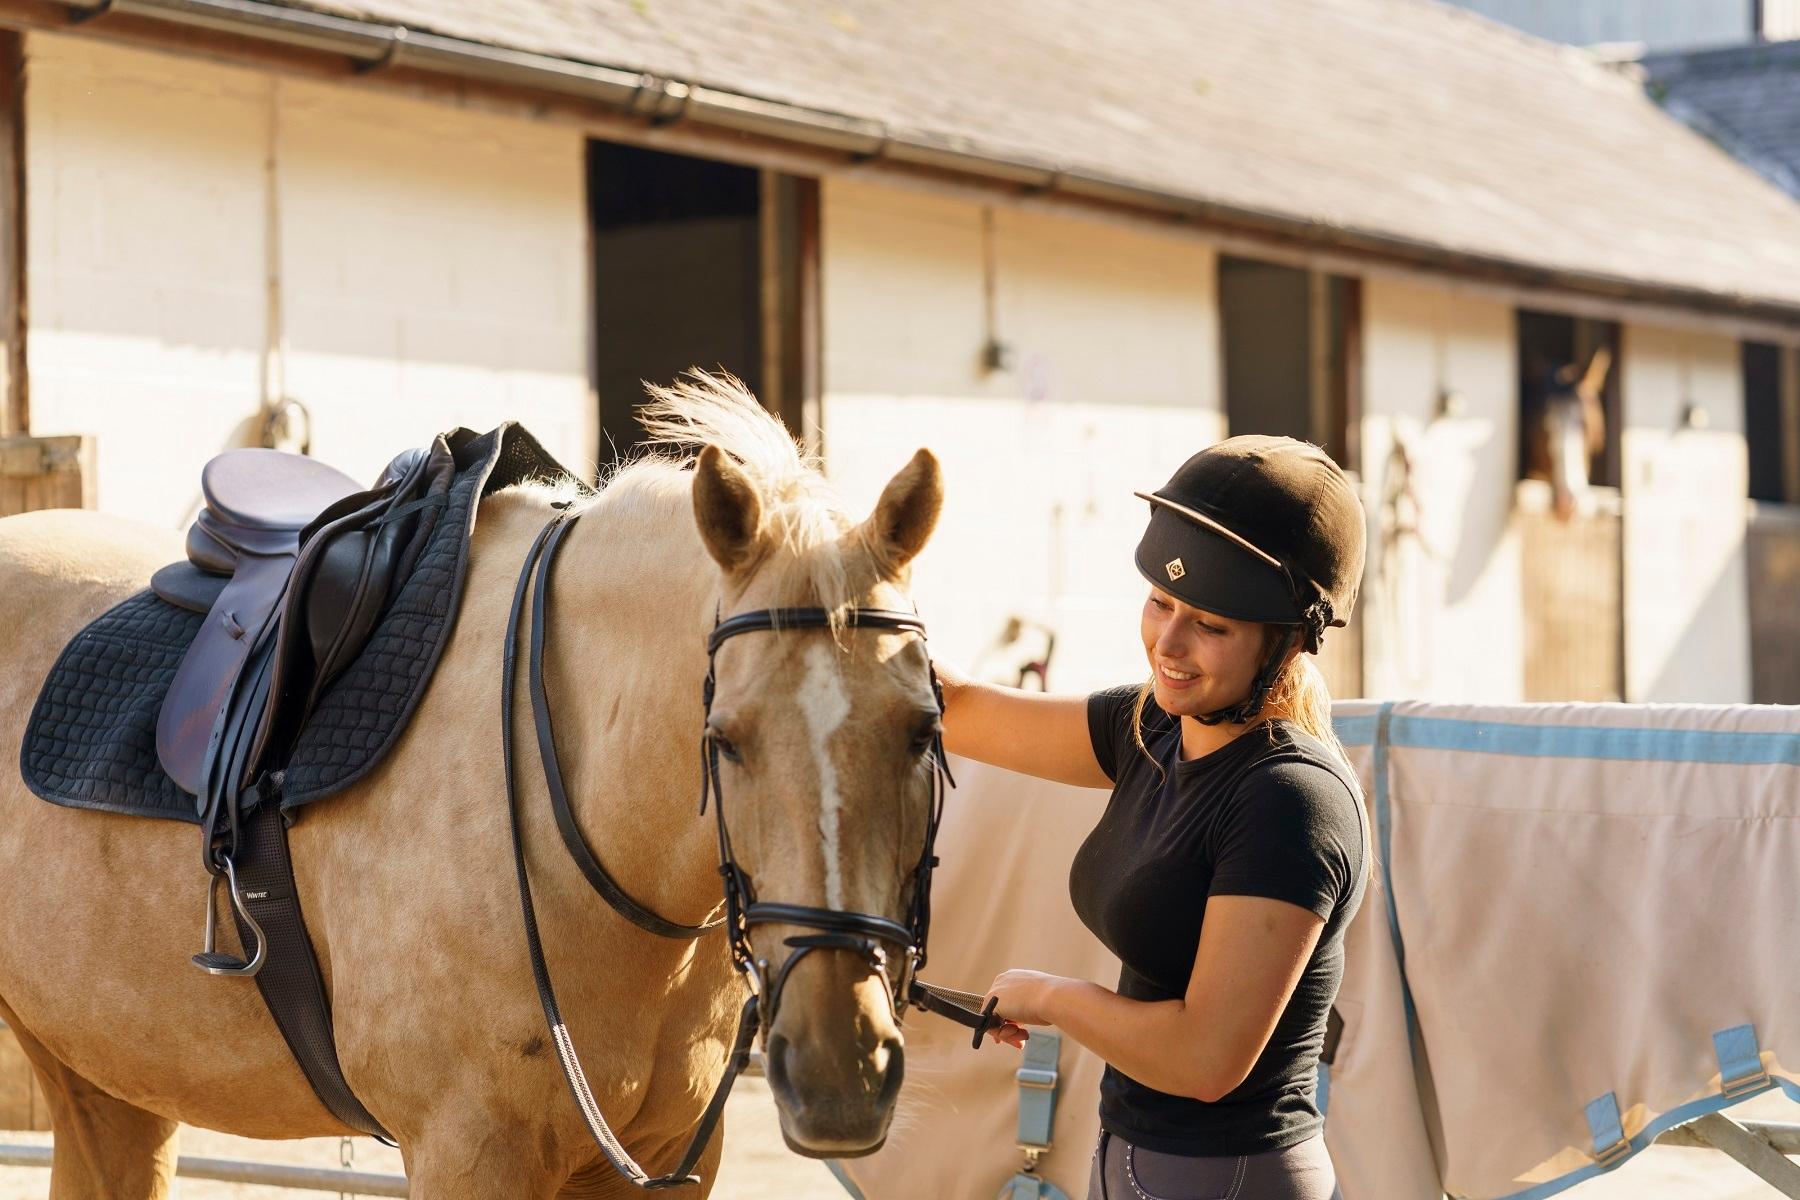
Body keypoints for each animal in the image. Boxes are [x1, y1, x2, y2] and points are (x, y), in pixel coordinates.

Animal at [0, 379, 950, 1200]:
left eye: (921, 732)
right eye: (725, 741)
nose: (840, 1071)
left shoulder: (666, 1157)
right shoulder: (468, 1152)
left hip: (101, 1075)